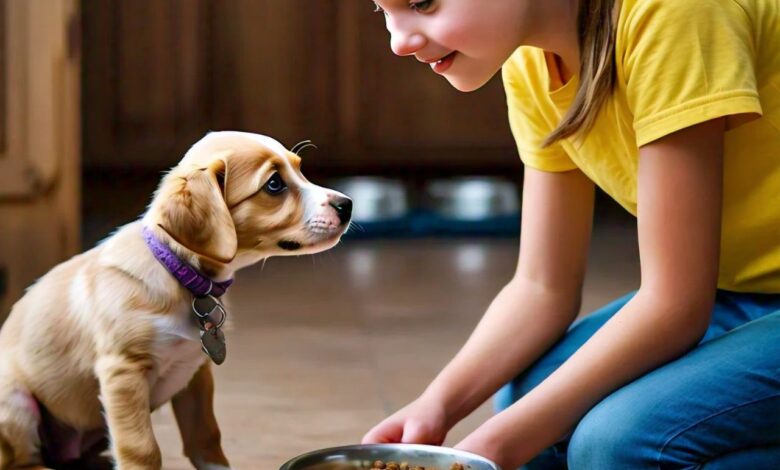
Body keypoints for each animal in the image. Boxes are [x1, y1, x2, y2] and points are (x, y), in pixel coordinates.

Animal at [0, 131, 350, 470]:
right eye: (274, 184)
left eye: (300, 169)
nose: (347, 205)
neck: (181, 275)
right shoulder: (123, 372)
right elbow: (141, 449)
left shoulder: (195, 372)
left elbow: (206, 437)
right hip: (16, 403)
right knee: (22, 461)